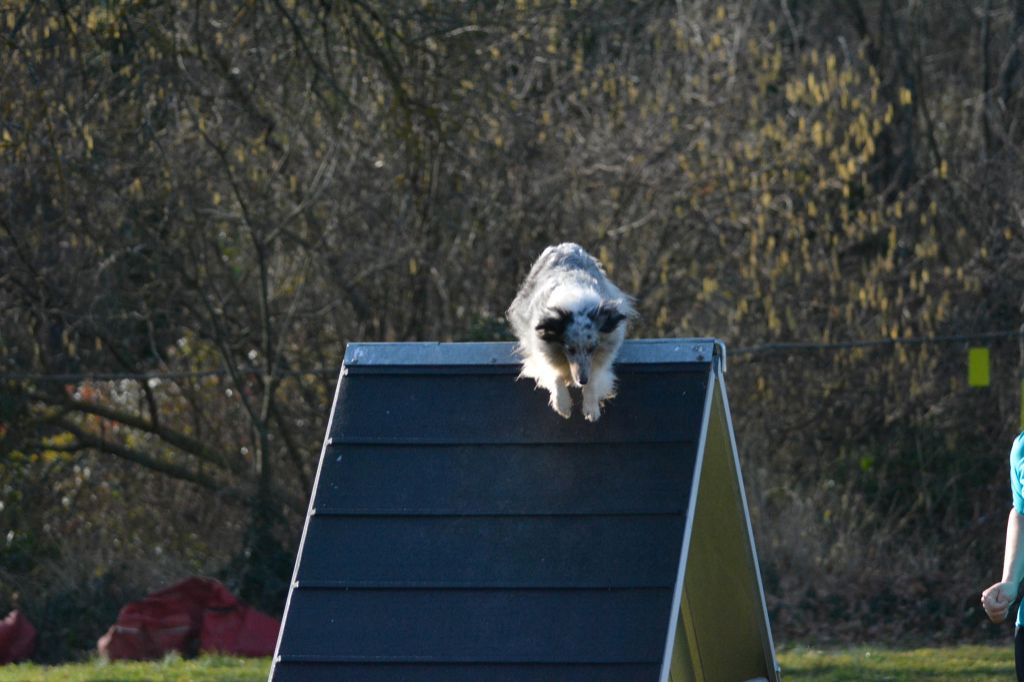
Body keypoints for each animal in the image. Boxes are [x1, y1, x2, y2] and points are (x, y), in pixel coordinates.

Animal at [507, 241, 634, 417]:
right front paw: (563, 406)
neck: (576, 304)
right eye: (569, 349)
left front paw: (591, 409)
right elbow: (554, 374)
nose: (582, 380)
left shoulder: (600, 357)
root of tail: (566, 245)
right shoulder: (541, 349)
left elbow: (595, 377)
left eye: (592, 348)